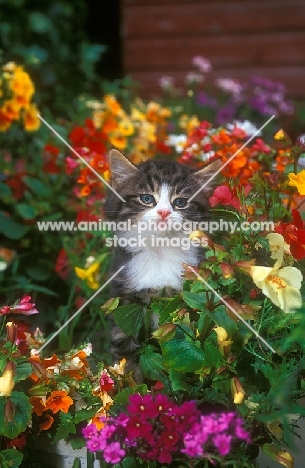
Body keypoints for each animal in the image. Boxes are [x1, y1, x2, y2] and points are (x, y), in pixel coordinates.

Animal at [103, 148, 220, 374]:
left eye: (180, 202)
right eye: (147, 198)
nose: (164, 212)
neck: (160, 250)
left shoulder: (187, 299)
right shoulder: (124, 297)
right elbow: (125, 346)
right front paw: (126, 379)